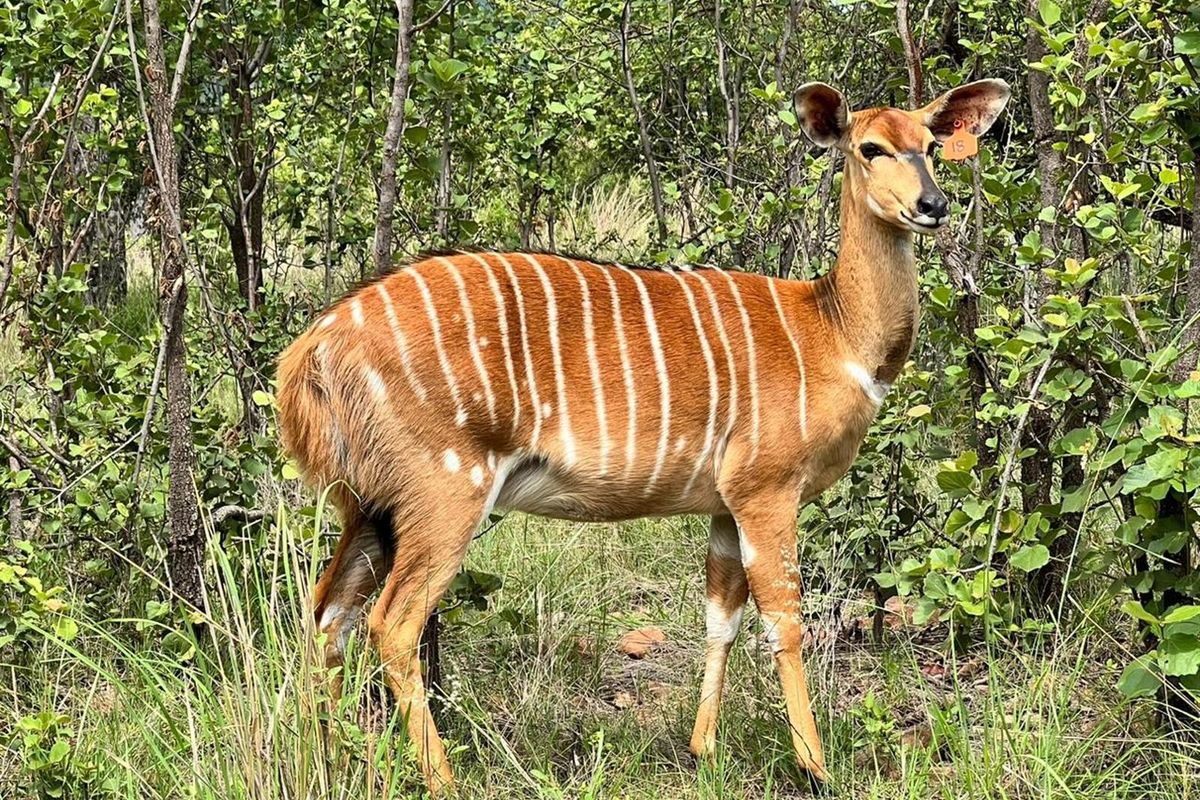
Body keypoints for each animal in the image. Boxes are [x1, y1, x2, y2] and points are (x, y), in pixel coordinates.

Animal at [277, 78, 1010, 793]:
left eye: (931, 145)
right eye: (869, 148)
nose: (933, 205)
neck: (831, 330)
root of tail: (313, 350)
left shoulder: (724, 504)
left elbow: (721, 615)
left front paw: (703, 751)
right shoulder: (768, 488)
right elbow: (784, 619)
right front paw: (815, 767)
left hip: (370, 505)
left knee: (325, 614)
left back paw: (335, 759)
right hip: (444, 490)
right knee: (391, 624)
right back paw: (442, 780)